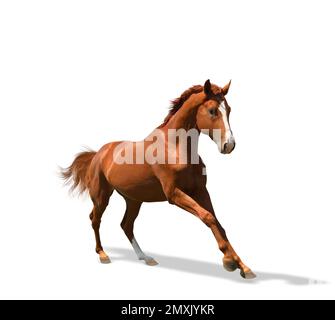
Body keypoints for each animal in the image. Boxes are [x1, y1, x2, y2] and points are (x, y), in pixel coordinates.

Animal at [61, 80, 258, 280]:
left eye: (229, 109)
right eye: (212, 110)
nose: (229, 145)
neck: (175, 147)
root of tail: (98, 153)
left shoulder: (201, 191)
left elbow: (217, 222)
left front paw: (243, 267)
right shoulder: (174, 194)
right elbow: (208, 217)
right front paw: (229, 262)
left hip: (133, 199)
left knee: (126, 225)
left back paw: (146, 258)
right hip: (101, 196)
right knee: (95, 219)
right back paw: (103, 254)